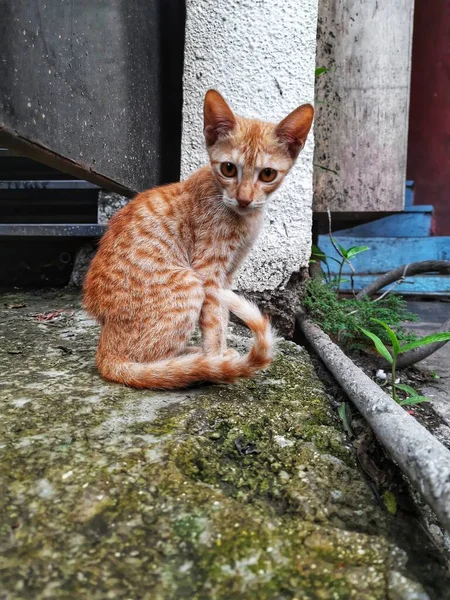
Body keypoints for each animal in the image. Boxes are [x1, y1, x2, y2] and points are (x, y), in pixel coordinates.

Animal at [83, 89, 312, 390]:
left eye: (267, 174)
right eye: (228, 169)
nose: (244, 199)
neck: (244, 218)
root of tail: (105, 349)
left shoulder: (228, 275)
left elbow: (223, 318)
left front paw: (219, 356)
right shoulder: (209, 273)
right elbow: (214, 321)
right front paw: (216, 360)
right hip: (189, 284)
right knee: (148, 362)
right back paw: (198, 363)